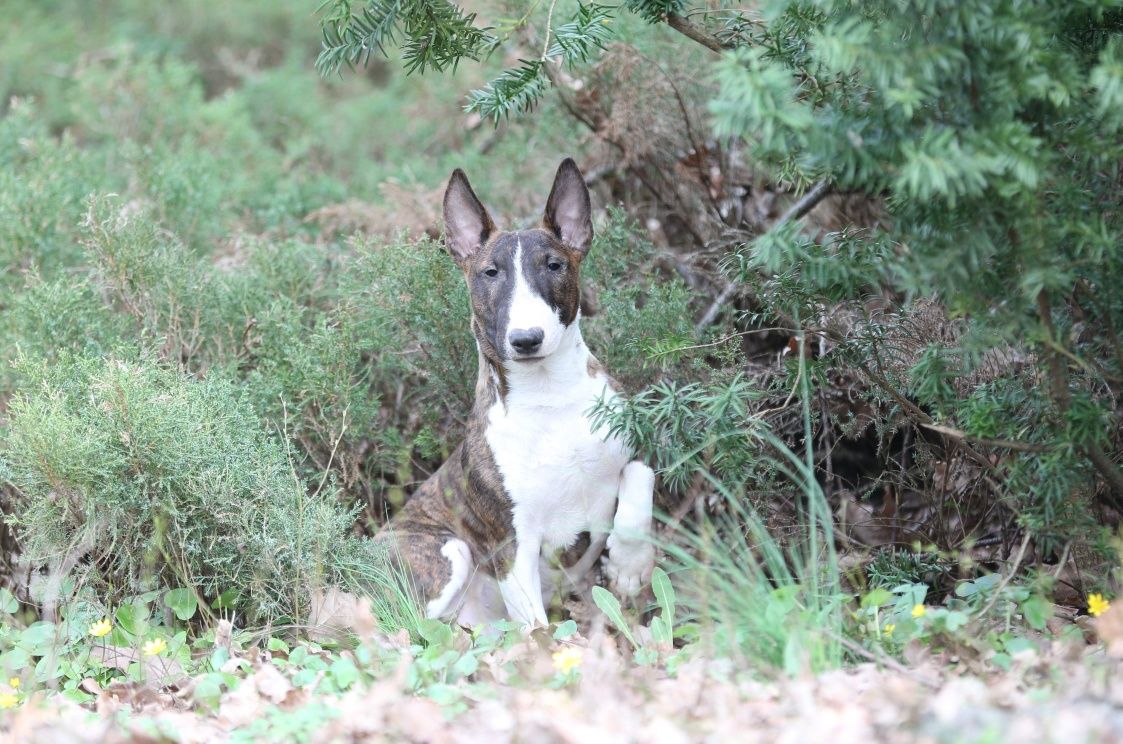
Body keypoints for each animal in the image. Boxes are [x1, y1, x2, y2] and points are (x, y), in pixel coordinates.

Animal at [379, 157, 655, 628]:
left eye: (554, 265)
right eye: (490, 272)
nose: (526, 339)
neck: (549, 398)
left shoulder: (635, 443)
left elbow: (641, 480)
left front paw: (628, 567)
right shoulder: (511, 543)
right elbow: (536, 628)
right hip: (446, 553)